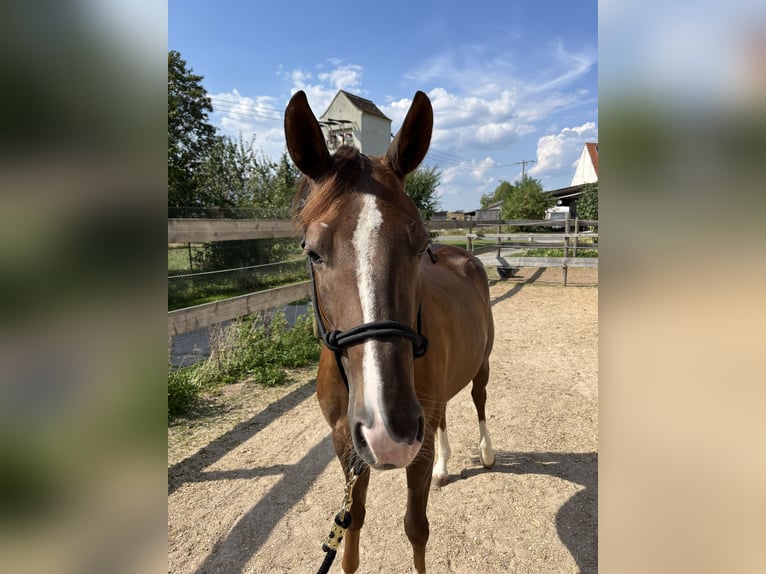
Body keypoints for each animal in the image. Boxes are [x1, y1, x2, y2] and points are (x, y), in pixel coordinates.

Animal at [284, 90, 496, 574]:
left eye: (419, 244)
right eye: (313, 252)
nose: (389, 428)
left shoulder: (414, 449)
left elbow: (416, 529)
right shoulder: (346, 443)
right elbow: (351, 526)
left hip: (482, 365)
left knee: (478, 399)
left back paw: (486, 451)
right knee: (443, 416)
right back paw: (445, 466)